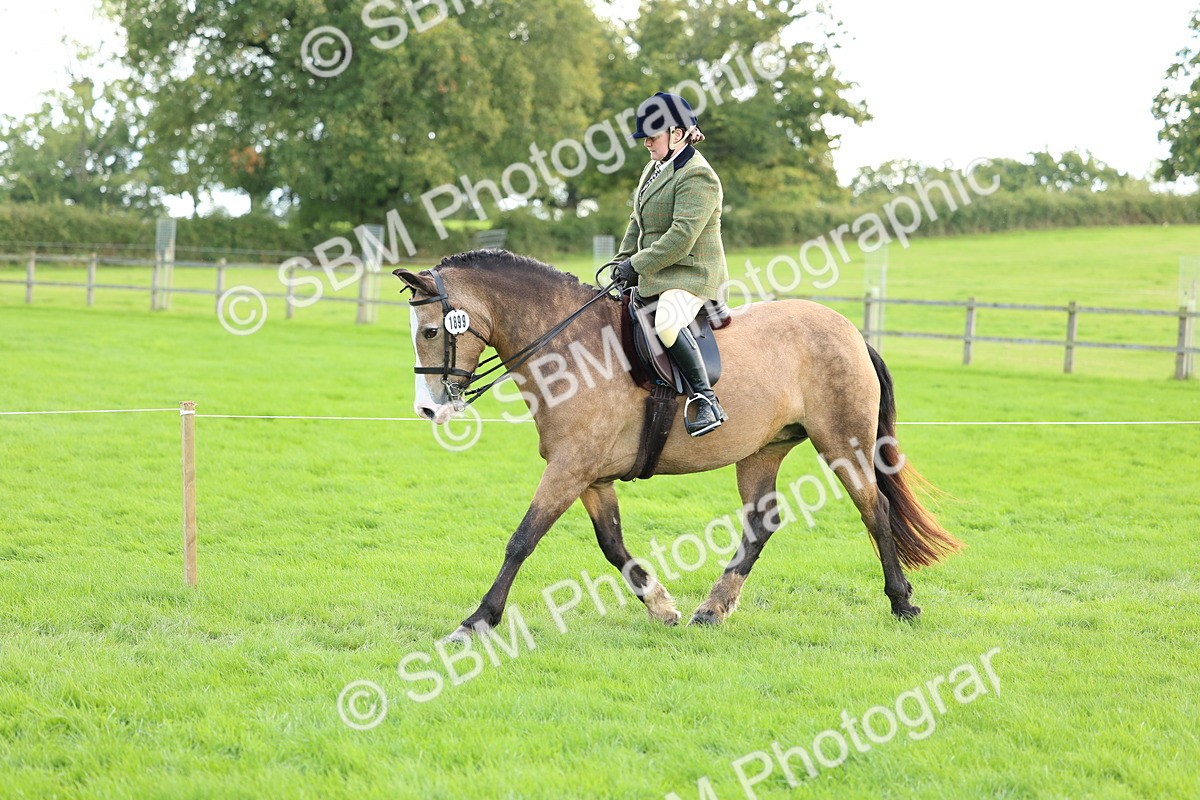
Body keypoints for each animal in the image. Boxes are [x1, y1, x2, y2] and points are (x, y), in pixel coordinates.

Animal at [394, 250, 961, 642]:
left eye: (430, 331)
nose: (428, 410)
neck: (570, 348)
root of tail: (850, 330)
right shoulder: (590, 476)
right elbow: (612, 545)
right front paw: (661, 606)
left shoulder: (570, 469)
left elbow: (521, 540)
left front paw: (476, 621)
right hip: (762, 451)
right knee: (761, 523)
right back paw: (711, 609)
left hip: (844, 442)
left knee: (874, 509)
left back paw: (902, 603)